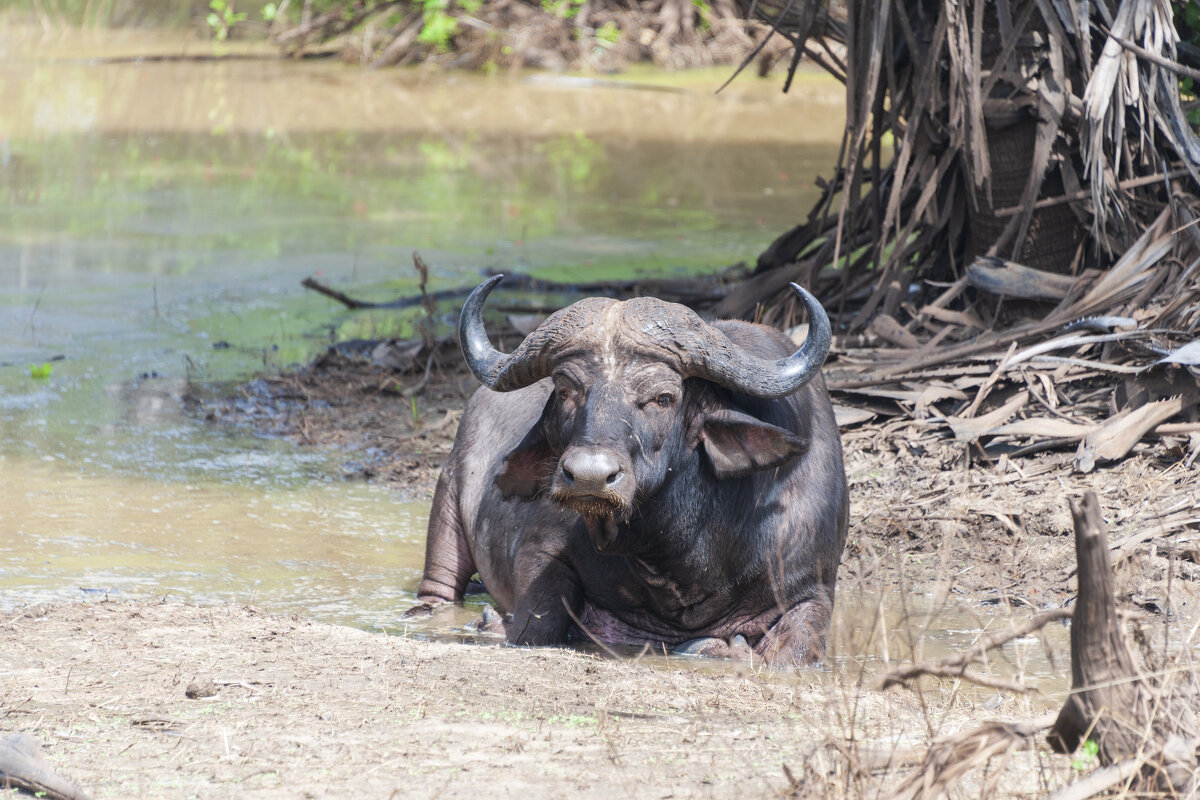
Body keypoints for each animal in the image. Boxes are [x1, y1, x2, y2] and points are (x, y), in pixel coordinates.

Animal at [417, 275, 849, 662]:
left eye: (662, 397)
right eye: (565, 391)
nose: (589, 476)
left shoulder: (811, 586)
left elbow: (795, 649)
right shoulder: (539, 553)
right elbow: (539, 623)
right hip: (447, 497)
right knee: (438, 584)